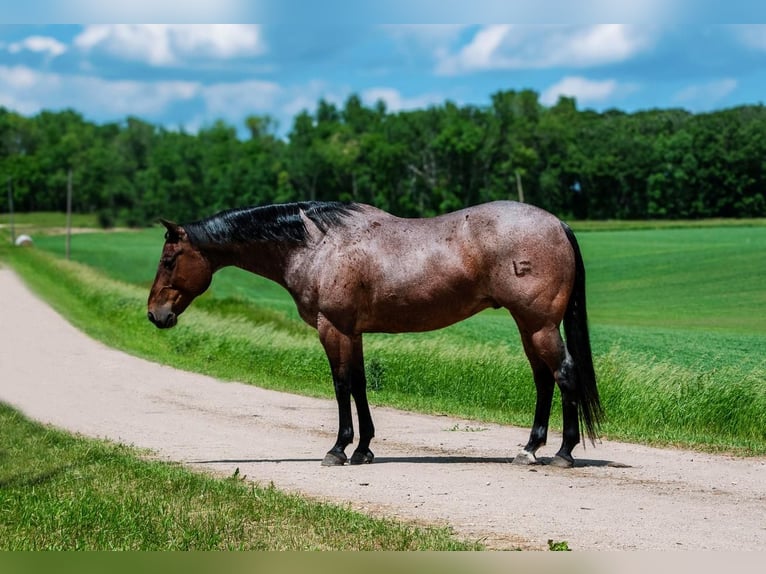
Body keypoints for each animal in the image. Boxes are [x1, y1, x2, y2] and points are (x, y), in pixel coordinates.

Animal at [147, 200, 604, 470]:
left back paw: (563, 453)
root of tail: (558, 223)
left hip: (539, 325)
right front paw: (364, 448)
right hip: (528, 326)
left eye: (169, 260)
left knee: (564, 374)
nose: (155, 315)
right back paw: (528, 449)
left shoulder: (332, 328)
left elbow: (340, 385)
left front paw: (338, 449)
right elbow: (360, 384)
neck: (317, 244)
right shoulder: (353, 332)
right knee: (544, 380)